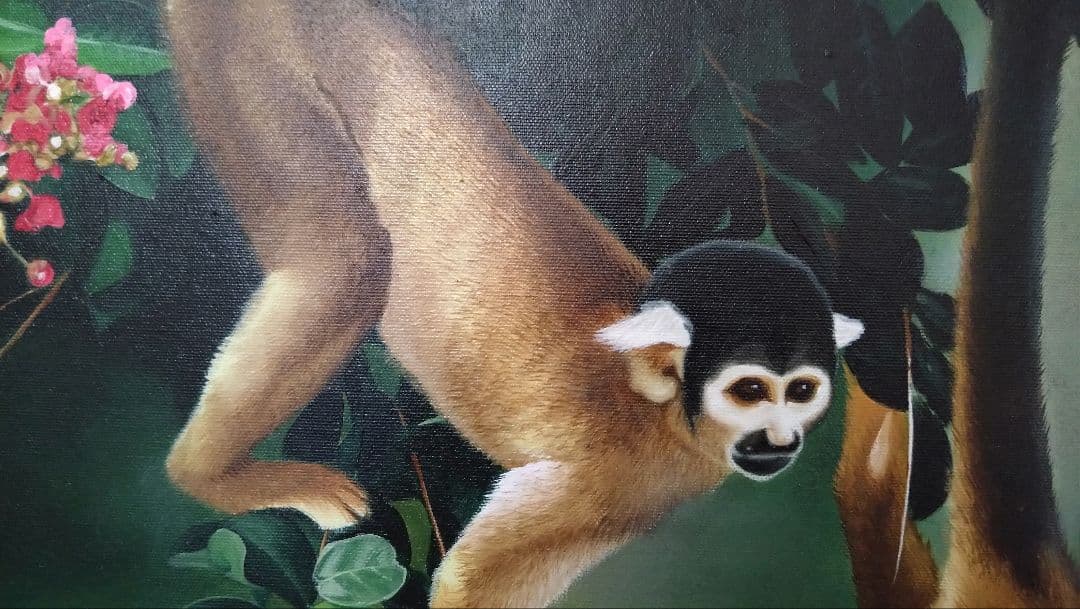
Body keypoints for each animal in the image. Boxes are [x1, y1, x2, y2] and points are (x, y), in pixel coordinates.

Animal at [160, 1, 864, 606]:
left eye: (801, 391)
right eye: (749, 391)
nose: (780, 437)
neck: (659, 412)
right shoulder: (621, 480)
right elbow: (469, 583)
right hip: (249, 54)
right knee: (350, 259)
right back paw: (206, 478)